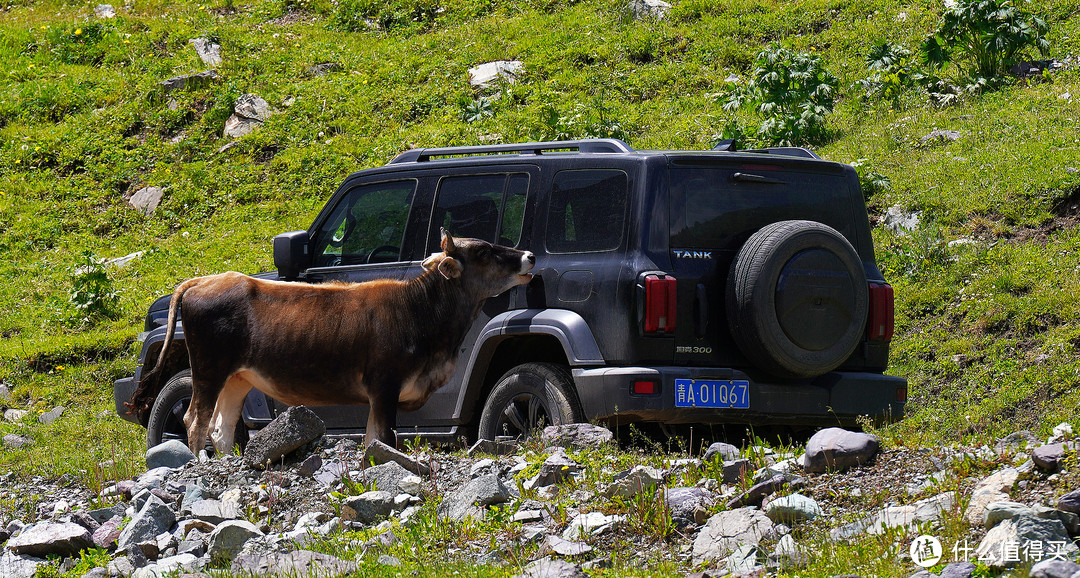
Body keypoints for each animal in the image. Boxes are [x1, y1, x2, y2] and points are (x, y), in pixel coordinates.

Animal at [130, 230, 535, 451]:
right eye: (482, 251)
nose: (529, 255)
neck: (419, 312)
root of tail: (204, 279)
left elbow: (375, 439)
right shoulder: (384, 386)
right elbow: (383, 437)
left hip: (238, 377)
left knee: (221, 428)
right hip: (209, 369)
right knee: (194, 422)